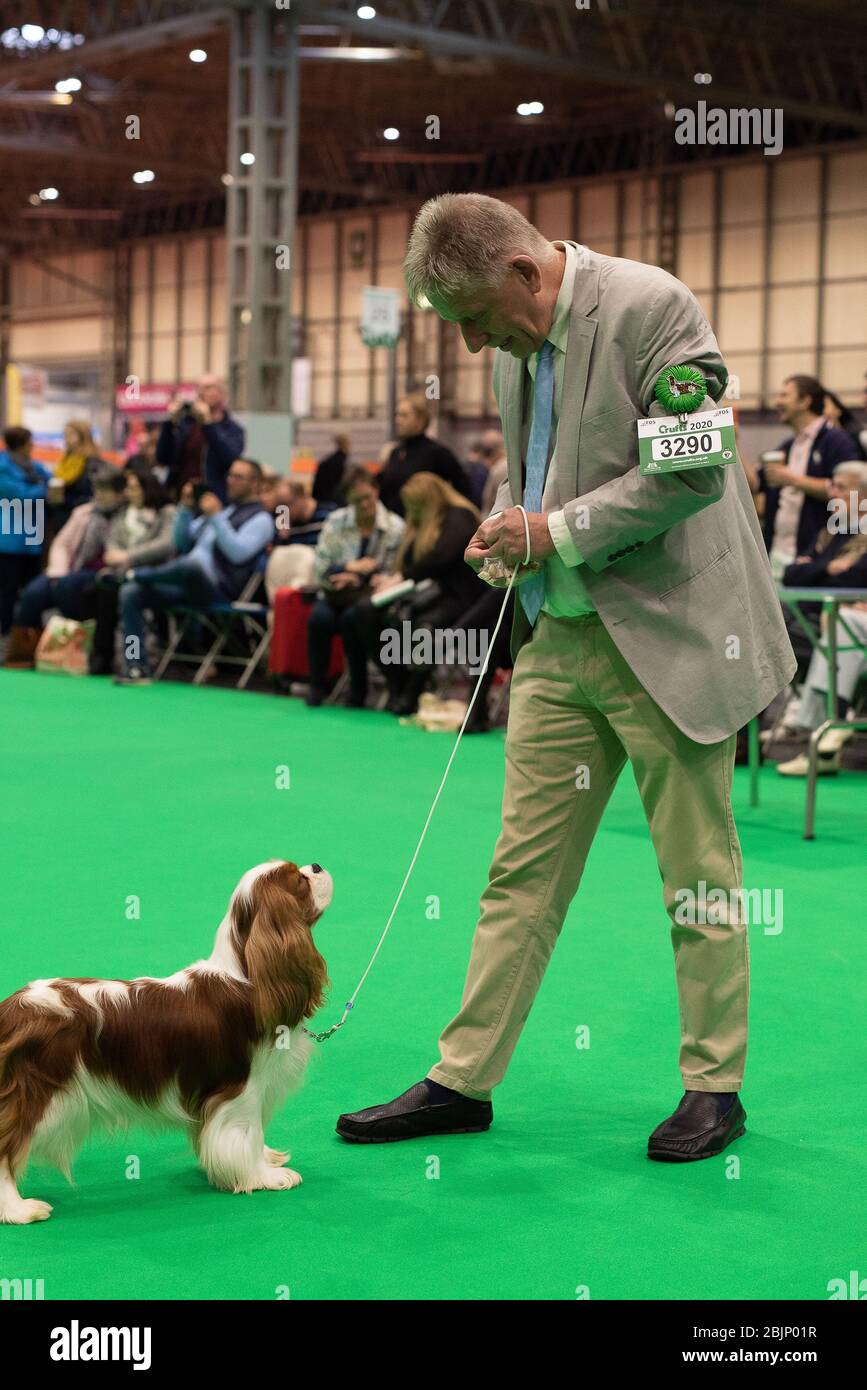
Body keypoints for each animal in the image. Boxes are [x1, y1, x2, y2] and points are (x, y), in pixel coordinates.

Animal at [0, 850, 332, 1223]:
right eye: (299, 880)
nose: (317, 865)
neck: (246, 976)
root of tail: (13, 1009)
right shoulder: (241, 1089)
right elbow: (246, 1131)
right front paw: (264, 1176)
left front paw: (265, 1159)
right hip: (36, 1095)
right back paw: (18, 1209)